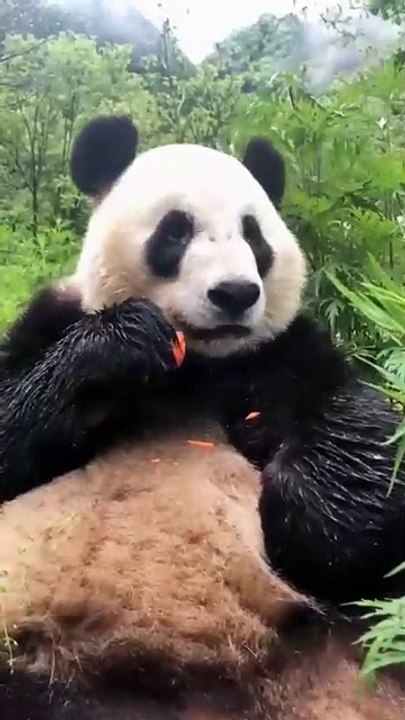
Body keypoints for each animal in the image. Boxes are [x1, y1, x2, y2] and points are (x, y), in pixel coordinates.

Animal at [0, 114, 404, 718]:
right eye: (175, 231)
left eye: (253, 234)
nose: (235, 293)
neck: (198, 366)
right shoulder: (51, 320)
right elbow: (11, 420)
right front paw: (126, 339)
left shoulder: (280, 351)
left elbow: (356, 424)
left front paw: (313, 530)